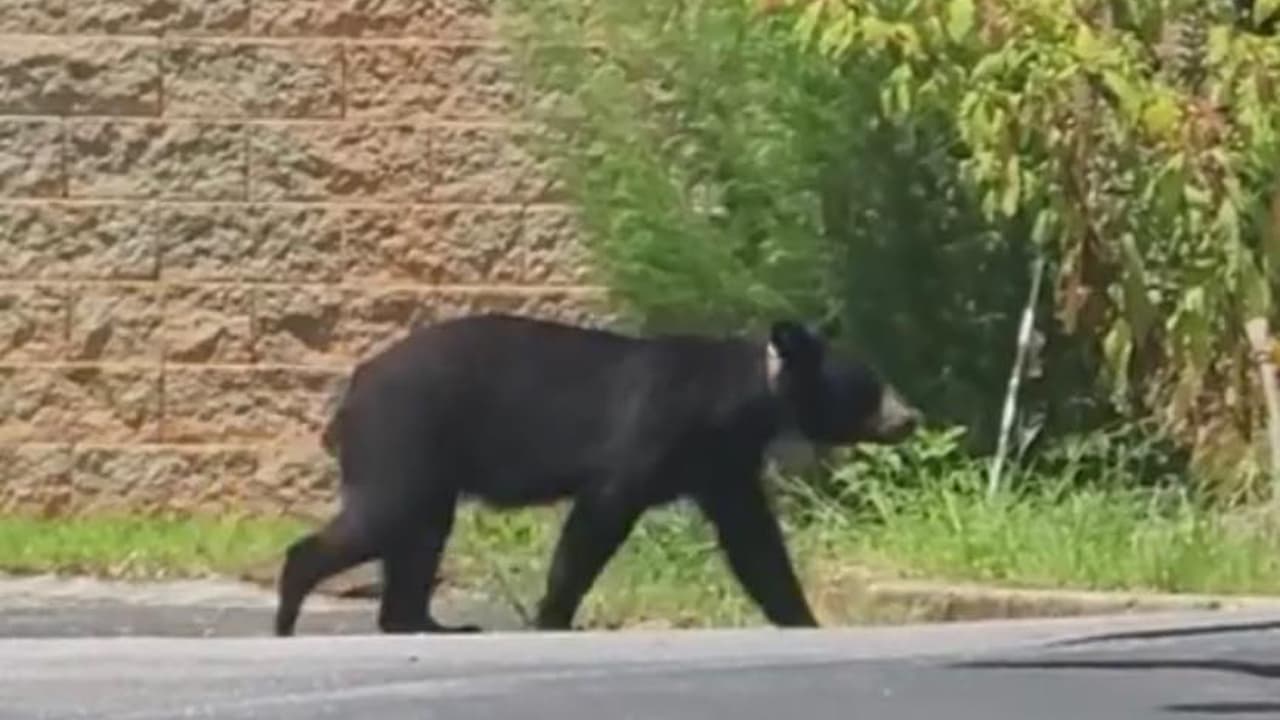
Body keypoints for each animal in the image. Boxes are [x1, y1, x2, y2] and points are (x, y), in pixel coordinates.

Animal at [274, 312, 921, 636]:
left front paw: (801, 617)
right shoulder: (655, 433)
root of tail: (352, 389)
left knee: (421, 535)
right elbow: (599, 518)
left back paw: (424, 623)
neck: (741, 399)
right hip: (406, 436)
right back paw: (291, 609)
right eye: (870, 385)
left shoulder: (721, 462)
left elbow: (754, 542)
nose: (910, 416)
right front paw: (553, 616)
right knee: (387, 516)